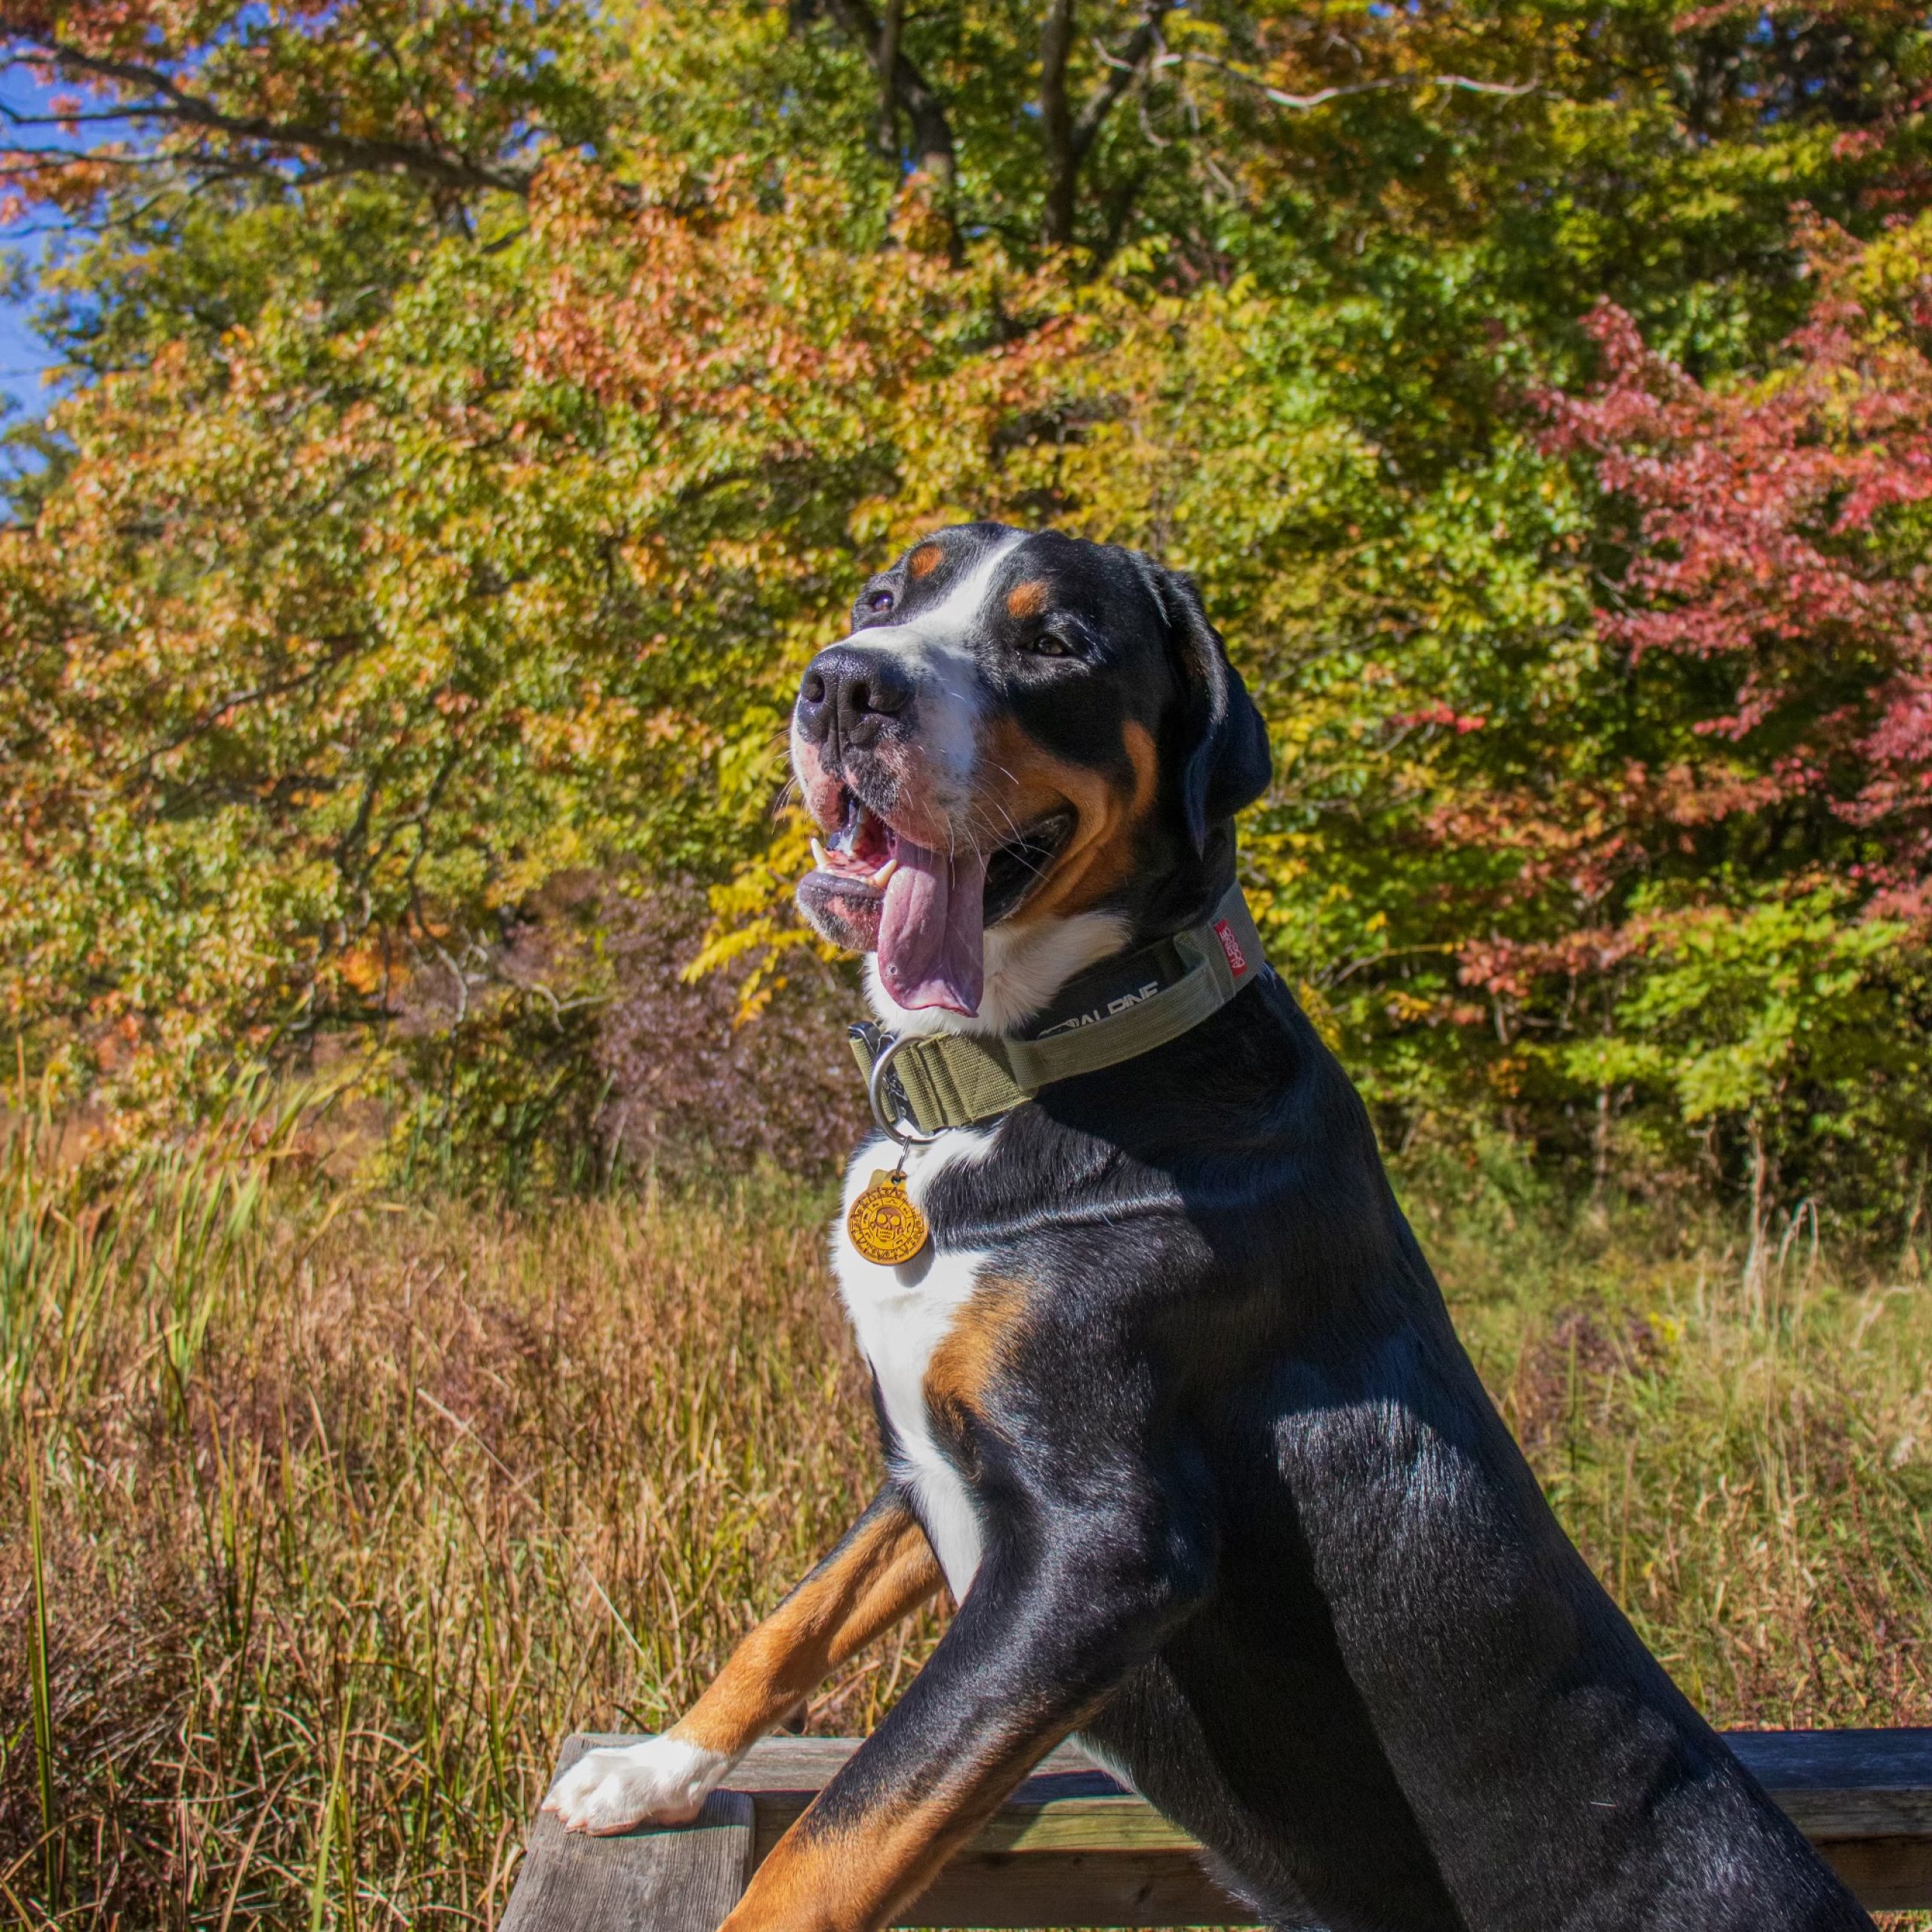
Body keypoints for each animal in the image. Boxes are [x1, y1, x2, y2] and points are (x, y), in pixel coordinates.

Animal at [545, 524, 1873, 1932]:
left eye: (1056, 640)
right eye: (883, 596)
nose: (847, 684)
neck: (1041, 1061)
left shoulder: (1101, 1550)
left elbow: (842, 1833)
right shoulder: (925, 1461)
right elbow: (791, 1623)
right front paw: (652, 1768)